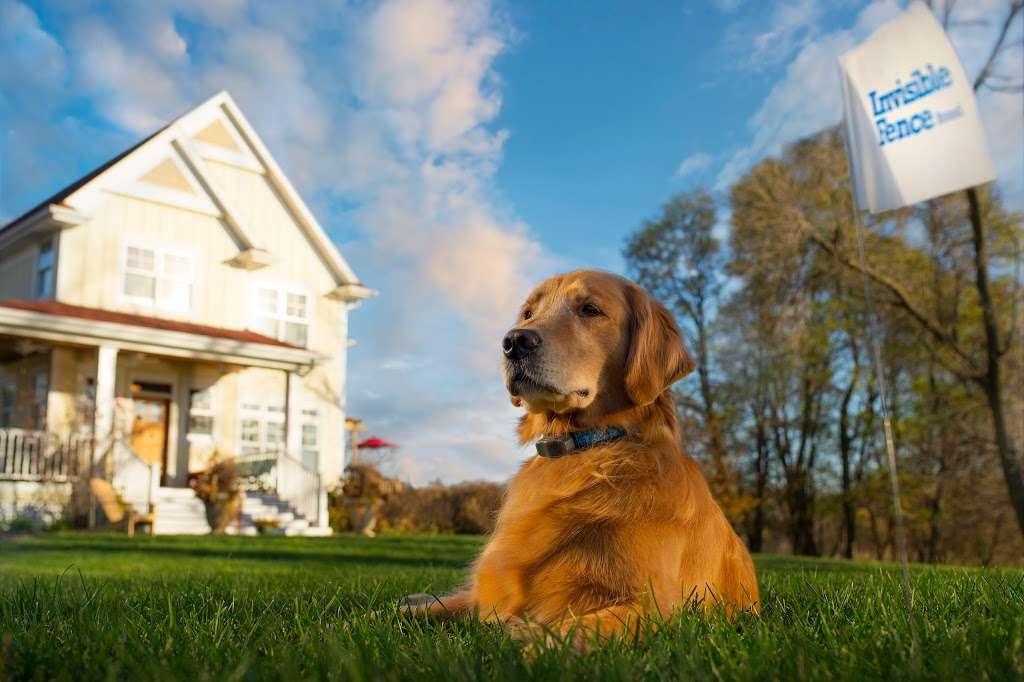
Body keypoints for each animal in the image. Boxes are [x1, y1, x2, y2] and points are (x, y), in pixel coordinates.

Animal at [407, 268, 761, 647]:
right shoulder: (483, 594)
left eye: (590, 309)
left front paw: (527, 638)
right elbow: (414, 612)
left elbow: (567, 633)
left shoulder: (657, 607)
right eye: (528, 313)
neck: (587, 449)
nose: (514, 341)